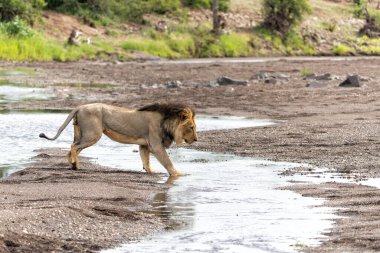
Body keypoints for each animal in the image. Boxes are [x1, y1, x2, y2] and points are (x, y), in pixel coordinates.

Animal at [39, 102, 197, 176]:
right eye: (191, 127)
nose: (196, 140)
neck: (166, 121)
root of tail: (79, 107)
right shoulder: (156, 146)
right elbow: (168, 162)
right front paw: (179, 174)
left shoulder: (144, 145)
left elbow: (146, 162)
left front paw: (151, 172)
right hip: (93, 134)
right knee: (73, 147)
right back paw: (76, 166)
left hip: (82, 134)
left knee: (71, 148)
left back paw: (71, 165)